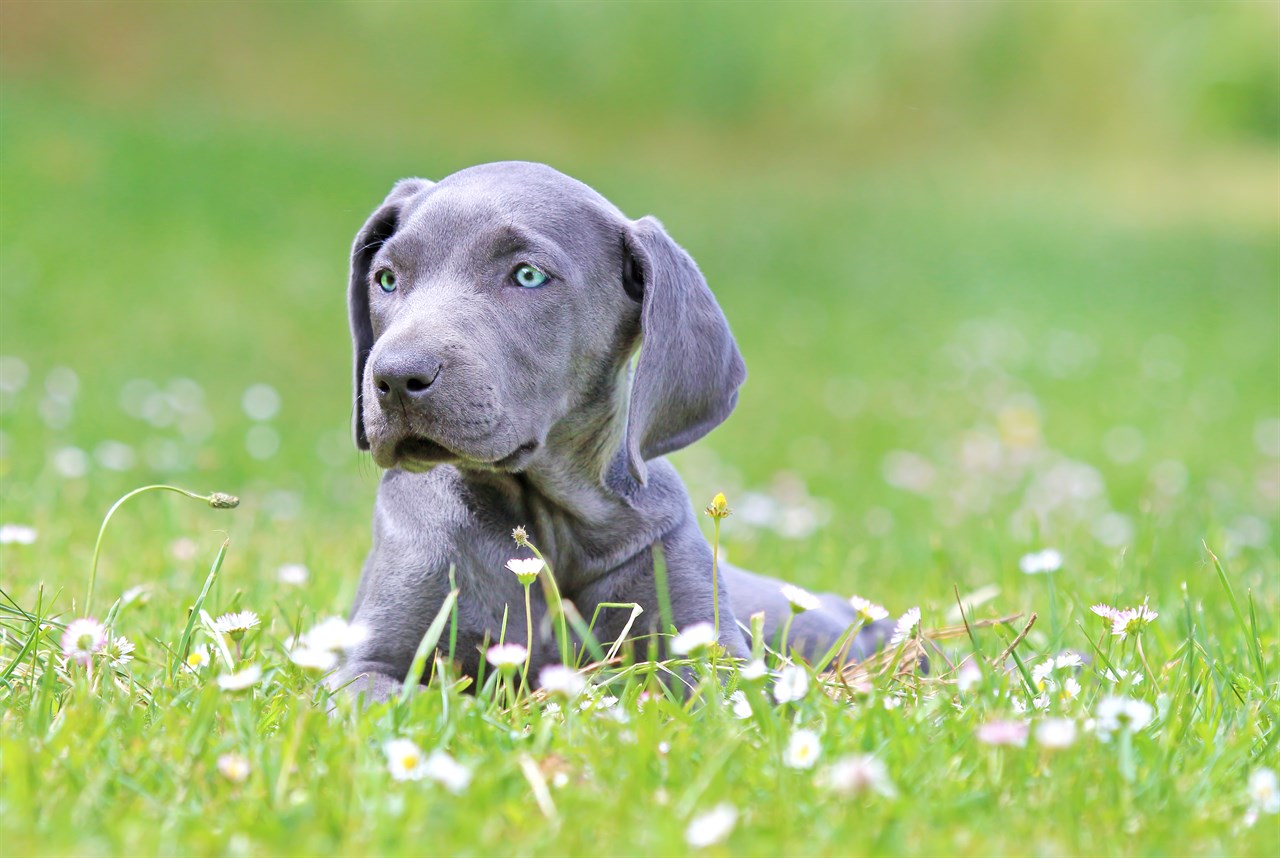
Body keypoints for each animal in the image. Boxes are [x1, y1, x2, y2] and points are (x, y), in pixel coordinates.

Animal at [340, 163, 890, 706]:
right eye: (386, 279)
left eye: (528, 275)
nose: (395, 378)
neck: (553, 530)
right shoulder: (366, 666)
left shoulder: (717, 660)